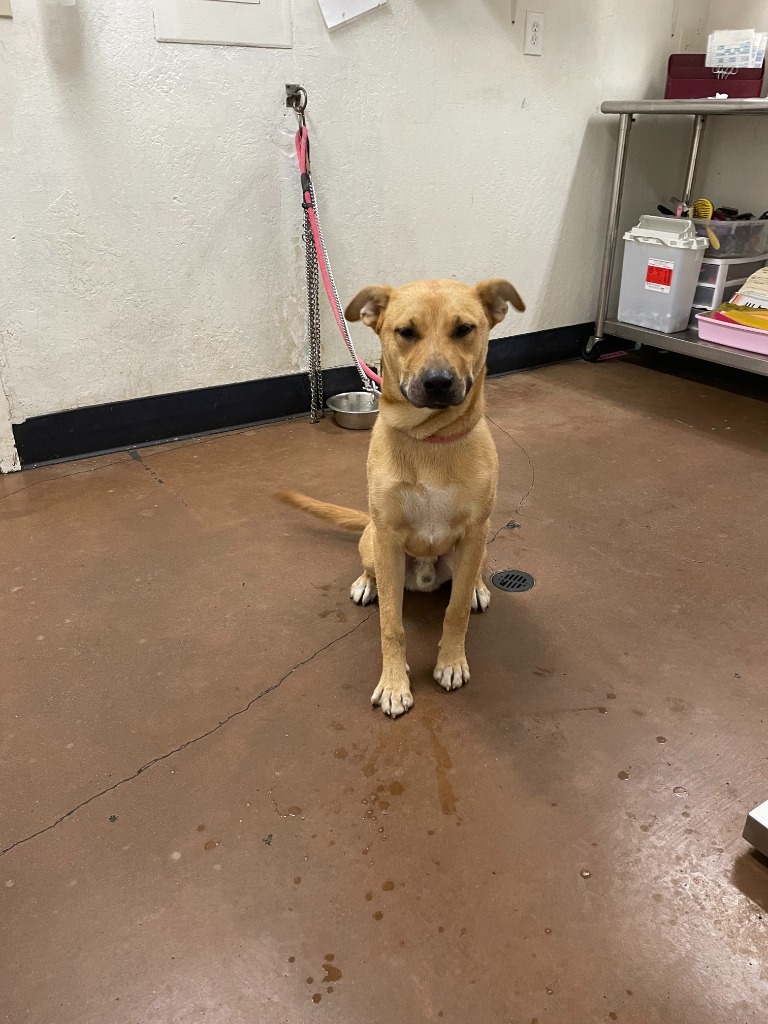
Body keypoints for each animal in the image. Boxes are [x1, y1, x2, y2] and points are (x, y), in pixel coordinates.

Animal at [280, 276, 528, 716]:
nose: (438, 383)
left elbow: (456, 611)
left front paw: (451, 661)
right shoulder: (388, 538)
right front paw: (395, 684)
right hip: (371, 541)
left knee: (471, 576)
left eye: (464, 329)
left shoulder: (475, 531)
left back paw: (478, 588)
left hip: (479, 544)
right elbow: (391, 627)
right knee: (373, 570)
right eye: (406, 332)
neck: (429, 439)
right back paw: (367, 584)